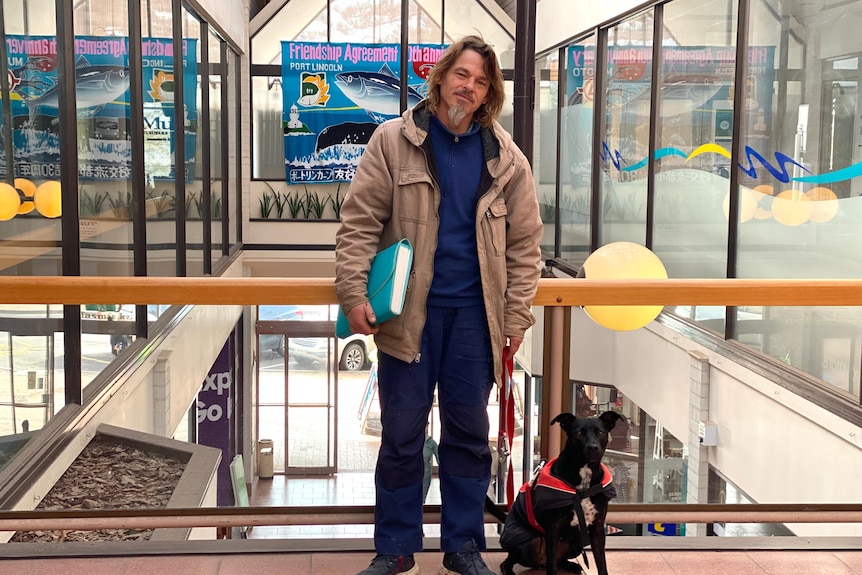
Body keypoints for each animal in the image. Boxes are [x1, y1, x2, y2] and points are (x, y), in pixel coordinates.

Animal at [486, 412, 620, 575]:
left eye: (600, 432)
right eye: (578, 433)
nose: (593, 447)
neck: (582, 482)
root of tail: (540, 563)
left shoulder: (598, 528)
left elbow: (602, 564)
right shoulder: (553, 529)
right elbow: (552, 567)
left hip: (576, 544)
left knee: (559, 560)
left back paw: (572, 565)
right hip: (526, 544)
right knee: (509, 562)